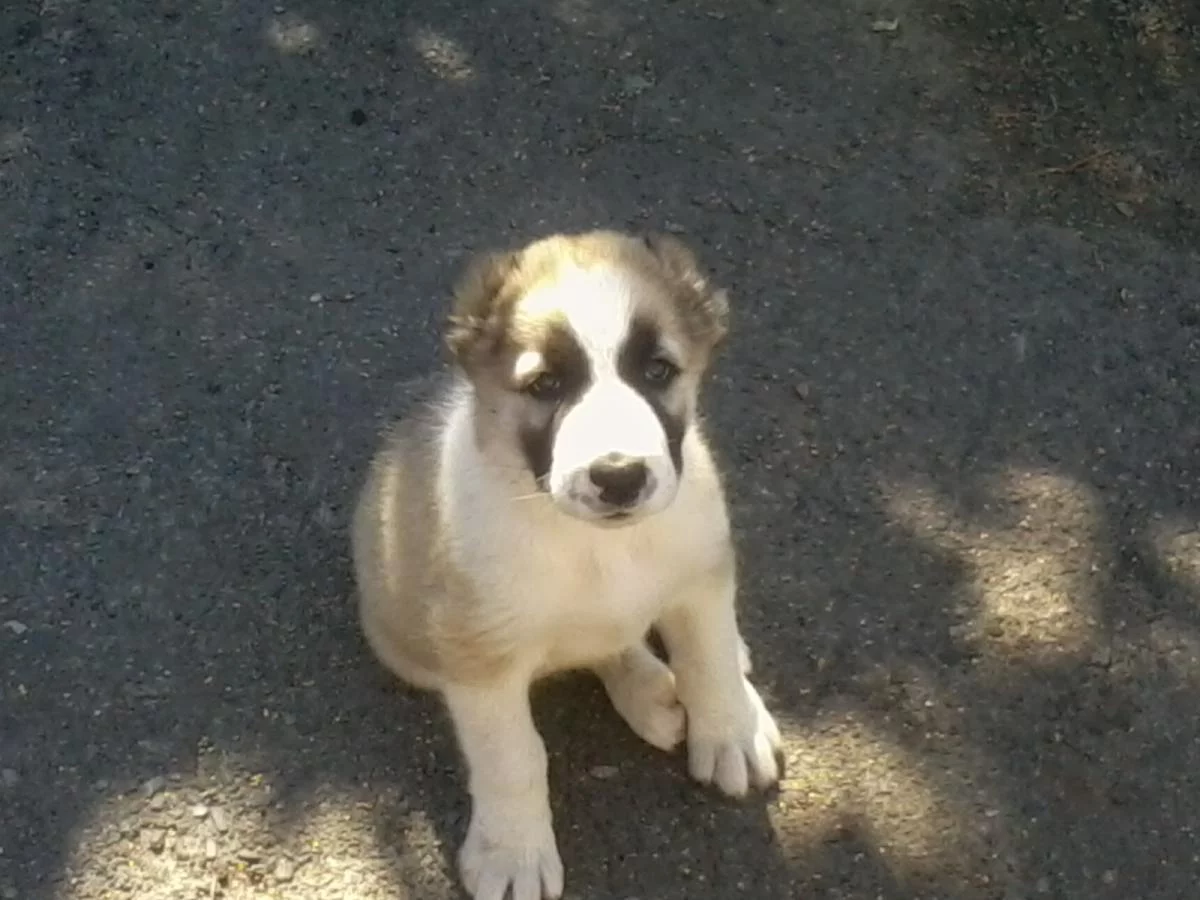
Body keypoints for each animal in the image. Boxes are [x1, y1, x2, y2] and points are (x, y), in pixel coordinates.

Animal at [351, 230, 782, 900]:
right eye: (545, 385)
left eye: (658, 372)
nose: (619, 477)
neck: (596, 547)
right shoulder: (481, 660)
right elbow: (514, 758)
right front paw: (514, 852)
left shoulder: (700, 576)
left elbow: (706, 659)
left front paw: (730, 730)